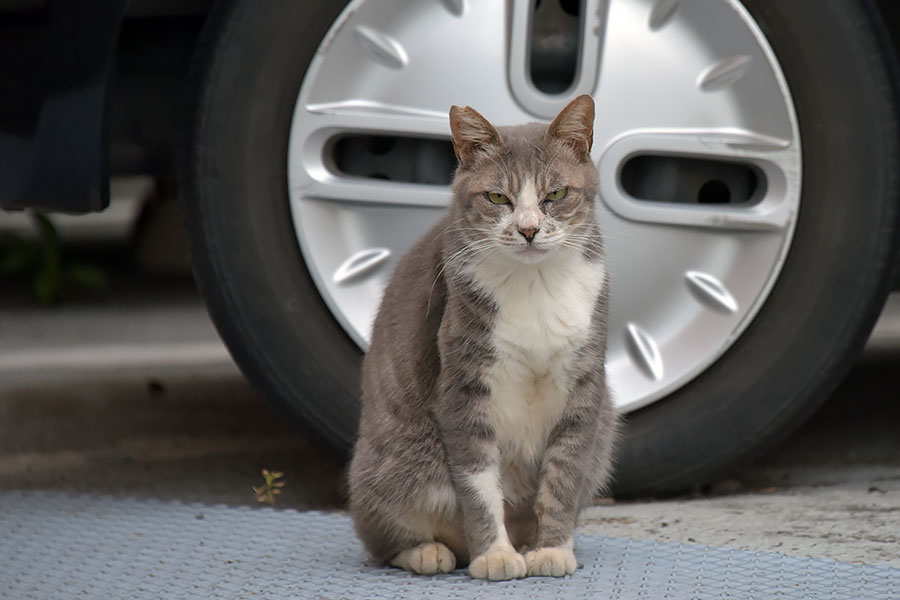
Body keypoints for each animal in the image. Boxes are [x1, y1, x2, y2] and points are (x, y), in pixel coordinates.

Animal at [348, 95, 616, 580]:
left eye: (555, 194)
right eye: (497, 197)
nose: (528, 229)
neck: (535, 285)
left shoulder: (584, 388)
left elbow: (563, 476)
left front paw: (552, 550)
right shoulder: (463, 385)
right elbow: (478, 483)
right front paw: (494, 555)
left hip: (606, 430)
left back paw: (528, 543)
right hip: (400, 464)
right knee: (382, 537)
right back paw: (429, 552)